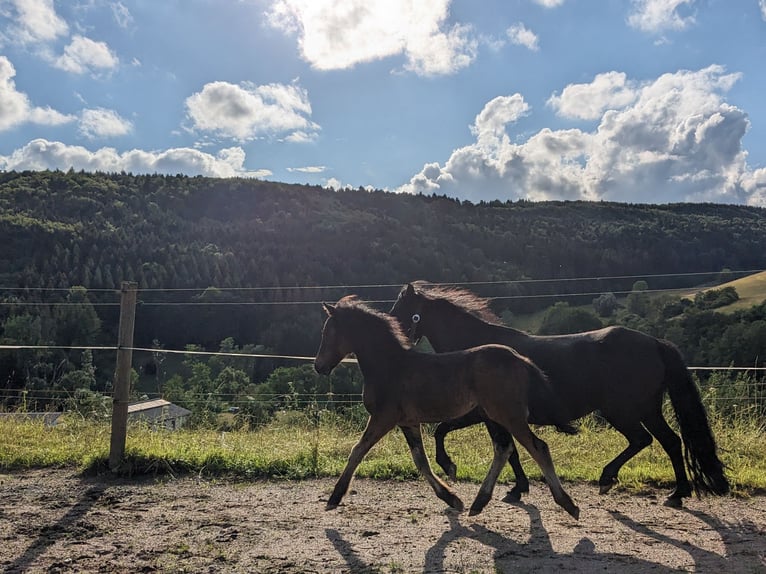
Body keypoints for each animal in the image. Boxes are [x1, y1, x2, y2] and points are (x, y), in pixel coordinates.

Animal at [316, 296, 580, 520]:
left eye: (327, 332)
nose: (319, 366)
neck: (390, 366)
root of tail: (520, 360)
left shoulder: (384, 417)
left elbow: (358, 451)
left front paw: (334, 497)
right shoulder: (408, 422)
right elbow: (421, 461)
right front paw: (452, 498)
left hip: (508, 415)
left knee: (537, 447)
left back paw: (568, 504)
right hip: (496, 416)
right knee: (504, 449)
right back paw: (478, 503)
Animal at [392, 284, 728, 508]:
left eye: (399, 311)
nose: (396, 343)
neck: (475, 351)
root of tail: (655, 343)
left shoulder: (484, 415)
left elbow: (447, 431)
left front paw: (450, 467)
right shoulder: (498, 418)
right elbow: (510, 450)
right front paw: (518, 488)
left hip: (625, 411)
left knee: (650, 440)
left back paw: (633, 484)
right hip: (644, 410)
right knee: (667, 441)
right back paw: (670, 492)